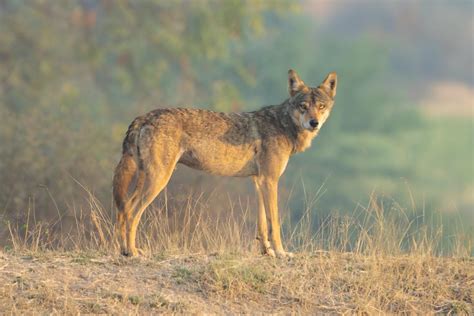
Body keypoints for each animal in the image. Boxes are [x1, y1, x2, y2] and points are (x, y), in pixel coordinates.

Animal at [113, 69, 336, 256]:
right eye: (303, 106)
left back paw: (124, 250)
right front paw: (281, 253)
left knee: (123, 209)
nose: (314, 123)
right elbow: (274, 224)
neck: (283, 124)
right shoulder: (270, 180)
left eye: (321, 106)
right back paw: (132, 252)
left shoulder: (259, 181)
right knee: (131, 212)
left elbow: (262, 224)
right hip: (158, 180)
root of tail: (143, 117)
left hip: (147, 179)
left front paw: (267, 252)